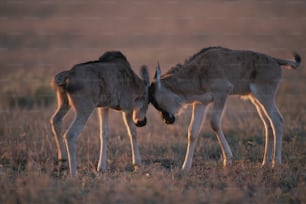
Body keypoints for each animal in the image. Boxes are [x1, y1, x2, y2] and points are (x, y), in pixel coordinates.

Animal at [150, 47, 302, 170]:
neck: (198, 72)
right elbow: (192, 132)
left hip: (265, 97)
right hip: (257, 100)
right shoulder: (200, 103)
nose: (166, 120)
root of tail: (275, 60)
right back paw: (265, 163)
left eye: (156, 102)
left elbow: (214, 123)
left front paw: (227, 160)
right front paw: (185, 167)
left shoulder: (221, 94)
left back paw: (276, 163)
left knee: (277, 120)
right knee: (268, 124)